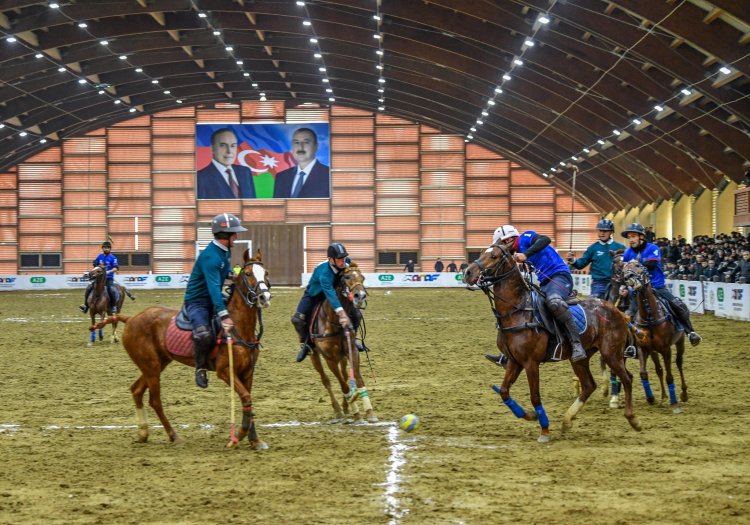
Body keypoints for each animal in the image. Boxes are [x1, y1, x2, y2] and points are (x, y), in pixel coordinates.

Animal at [110, 249, 272, 446]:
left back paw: (143, 432)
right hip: (151, 367)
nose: (264, 297)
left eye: (266, 273)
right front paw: (238, 435)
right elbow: (246, 397)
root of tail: (130, 318)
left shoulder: (248, 372)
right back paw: (174, 436)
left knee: (136, 390)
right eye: (248, 274)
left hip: (156, 364)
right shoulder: (225, 371)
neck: (238, 327)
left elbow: (248, 398)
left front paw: (255, 440)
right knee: (155, 401)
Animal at [306, 262, 378, 422]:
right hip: (314, 356)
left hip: (343, 356)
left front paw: (369, 411)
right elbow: (343, 385)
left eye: (363, 277)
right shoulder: (329, 358)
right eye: (346, 277)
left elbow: (357, 379)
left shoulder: (352, 350)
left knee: (345, 375)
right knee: (326, 380)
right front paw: (356, 411)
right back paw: (338, 410)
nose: (360, 296)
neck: (334, 322)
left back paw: (346, 406)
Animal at [464, 244, 640, 440]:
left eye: (494, 256)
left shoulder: (531, 362)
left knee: (627, 378)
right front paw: (529, 415)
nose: (467, 272)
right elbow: (503, 391)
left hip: (611, 353)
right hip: (580, 358)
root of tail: (620, 313)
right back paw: (567, 420)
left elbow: (535, 396)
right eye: (481, 253)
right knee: (589, 385)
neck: (518, 311)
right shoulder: (515, 361)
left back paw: (632, 419)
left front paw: (545, 430)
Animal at [620, 260, 692, 412]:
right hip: (653, 351)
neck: (650, 316)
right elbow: (643, 373)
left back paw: (683, 393)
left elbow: (669, 376)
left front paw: (675, 404)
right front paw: (651, 398)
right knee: (659, 370)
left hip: (680, 341)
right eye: (623, 271)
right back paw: (663, 396)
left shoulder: (666, 349)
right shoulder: (643, 348)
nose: (629, 277)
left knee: (679, 363)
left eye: (638, 266)